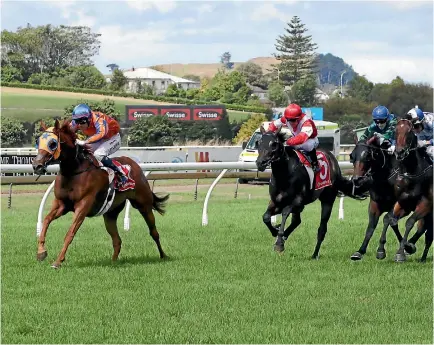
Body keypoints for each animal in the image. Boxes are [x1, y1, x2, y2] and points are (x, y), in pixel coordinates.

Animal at [30, 119, 169, 268]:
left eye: (53, 143)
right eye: (38, 141)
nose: (37, 165)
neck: (74, 171)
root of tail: (135, 164)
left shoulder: (83, 205)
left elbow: (70, 233)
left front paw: (57, 261)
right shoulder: (61, 204)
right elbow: (46, 221)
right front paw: (41, 252)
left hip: (144, 205)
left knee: (154, 232)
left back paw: (163, 256)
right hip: (110, 214)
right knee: (117, 240)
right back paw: (113, 262)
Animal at [256, 125, 358, 258]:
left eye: (274, 144)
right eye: (258, 142)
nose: (260, 163)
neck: (284, 175)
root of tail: (333, 160)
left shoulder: (296, 201)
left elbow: (284, 213)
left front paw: (279, 243)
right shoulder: (276, 201)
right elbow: (266, 217)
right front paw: (276, 231)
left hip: (328, 200)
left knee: (322, 228)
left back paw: (315, 254)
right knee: (297, 221)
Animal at [392, 119, 432, 262]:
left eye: (409, 131)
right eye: (396, 130)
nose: (400, 152)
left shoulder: (426, 204)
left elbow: (409, 222)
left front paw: (402, 252)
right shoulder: (404, 203)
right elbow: (393, 221)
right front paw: (406, 247)